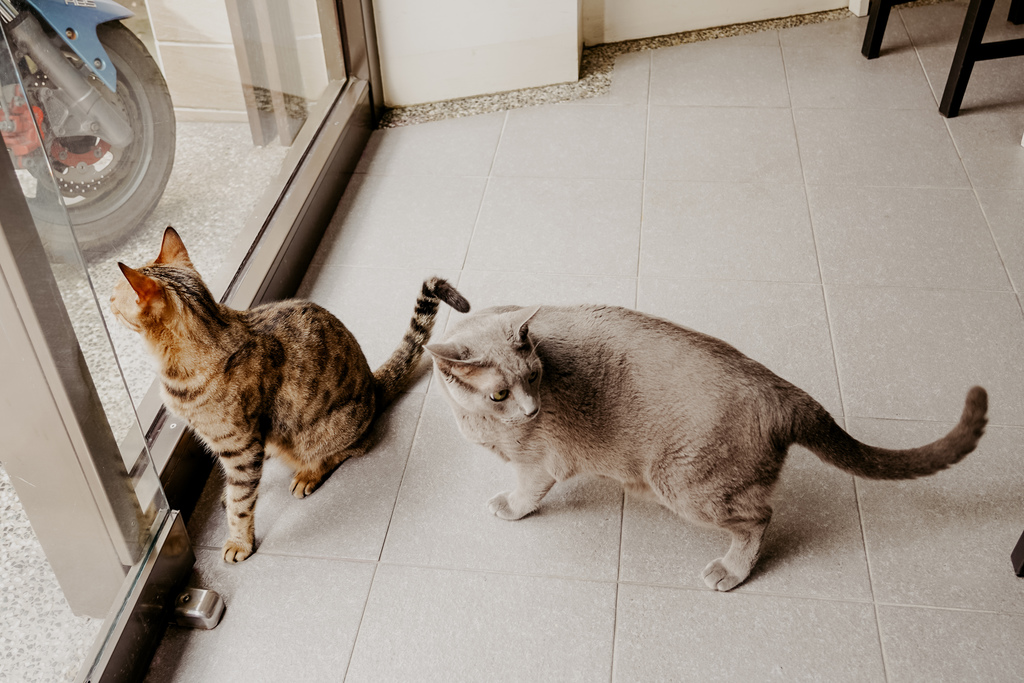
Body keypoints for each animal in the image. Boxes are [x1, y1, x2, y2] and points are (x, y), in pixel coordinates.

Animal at [110, 227, 468, 565]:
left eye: (115, 294)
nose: (110, 300)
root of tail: (373, 383)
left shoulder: (238, 446)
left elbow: (241, 504)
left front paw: (239, 541)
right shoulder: (235, 446)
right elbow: (235, 487)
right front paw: (229, 496)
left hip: (324, 433)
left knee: (353, 447)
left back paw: (308, 474)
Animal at [428, 305, 987, 593]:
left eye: (536, 377)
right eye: (501, 393)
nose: (531, 411)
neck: (472, 418)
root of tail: (784, 392)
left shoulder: (538, 463)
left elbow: (525, 494)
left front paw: (509, 507)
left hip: (682, 485)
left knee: (759, 517)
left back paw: (731, 571)